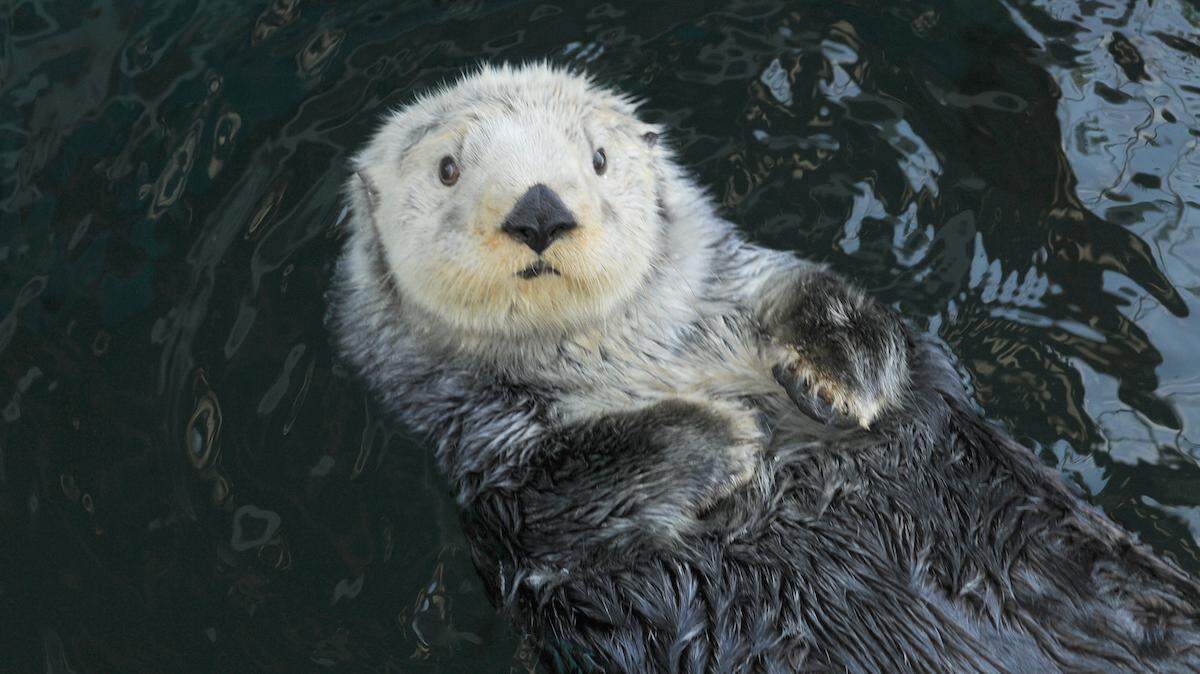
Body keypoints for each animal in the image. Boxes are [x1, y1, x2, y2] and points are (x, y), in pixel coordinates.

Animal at [330, 64, 1200, 672]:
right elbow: (552, 494)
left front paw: (832, 377)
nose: (538, 210)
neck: (628, 356)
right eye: (448, 168)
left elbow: (860, 319)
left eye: (600, 159)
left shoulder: (745, 287)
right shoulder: (486, 452)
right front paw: (725, 436)